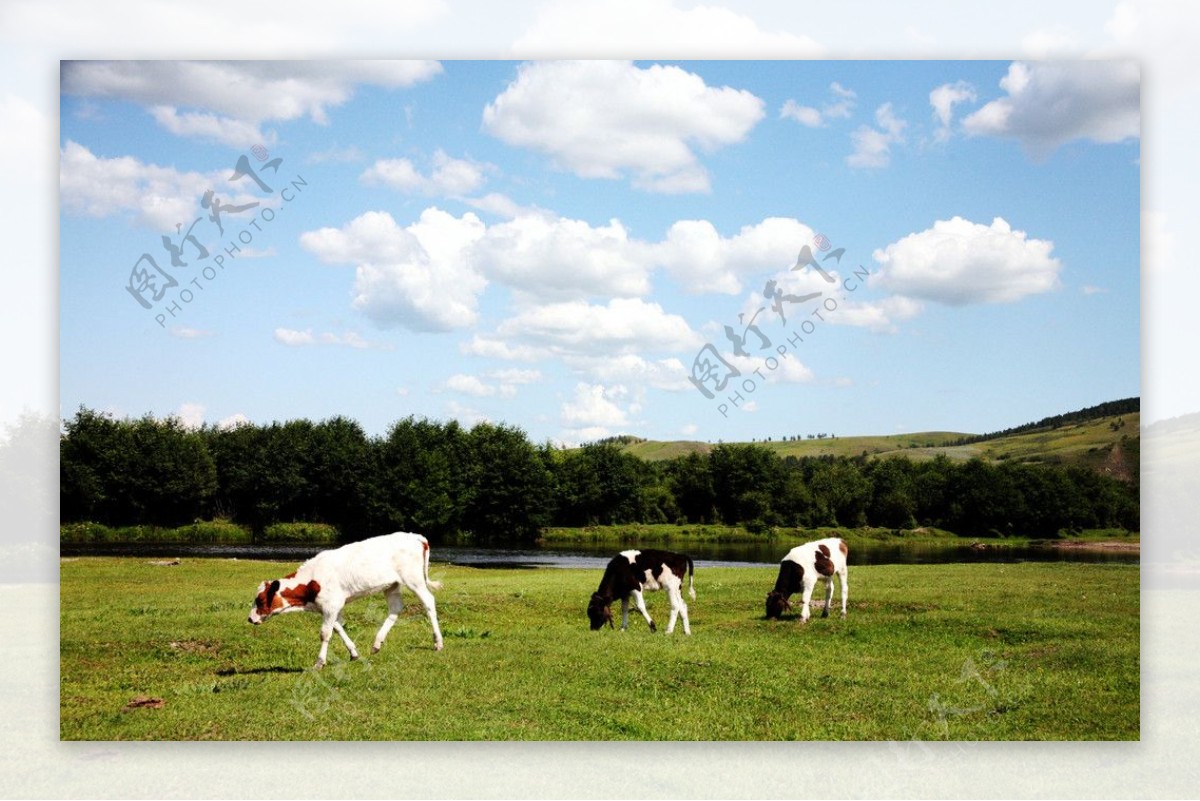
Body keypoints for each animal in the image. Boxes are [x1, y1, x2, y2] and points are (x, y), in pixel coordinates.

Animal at [248, 527, 446, 666]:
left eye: (260, 600)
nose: (250, 619)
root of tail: (416, 536)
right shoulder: (328, 607)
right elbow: (338, 628)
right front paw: (353, 653)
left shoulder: (331, 605)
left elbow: (325, 633)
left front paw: (319, 662)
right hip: (392, 584)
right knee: (396, 608)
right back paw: (377, 643)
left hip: (414, 579)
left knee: (429, 602)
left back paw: (438, 643)